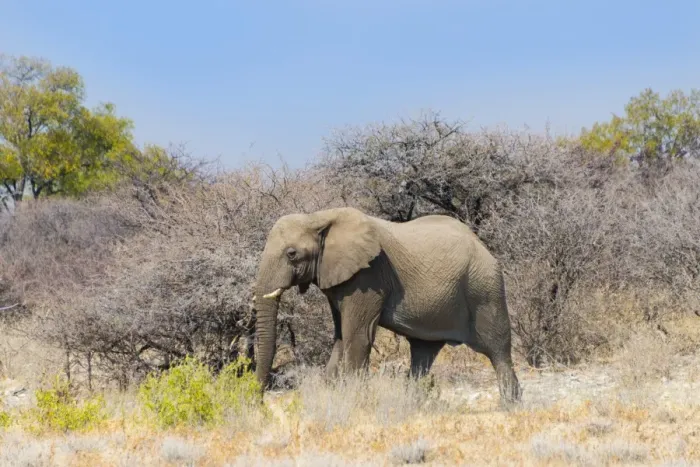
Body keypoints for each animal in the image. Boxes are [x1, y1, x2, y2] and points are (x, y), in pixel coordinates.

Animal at [251, 207, 522, 406]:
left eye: (291, 254)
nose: (259, 404)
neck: (318, 217)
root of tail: (483, 246)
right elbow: (340, 337)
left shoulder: (369, 276)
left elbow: (357, 336)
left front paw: (355, 403)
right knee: (423, 353)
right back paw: (413, 406)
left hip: (485, 288)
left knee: (497, 349)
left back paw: (510, 406)